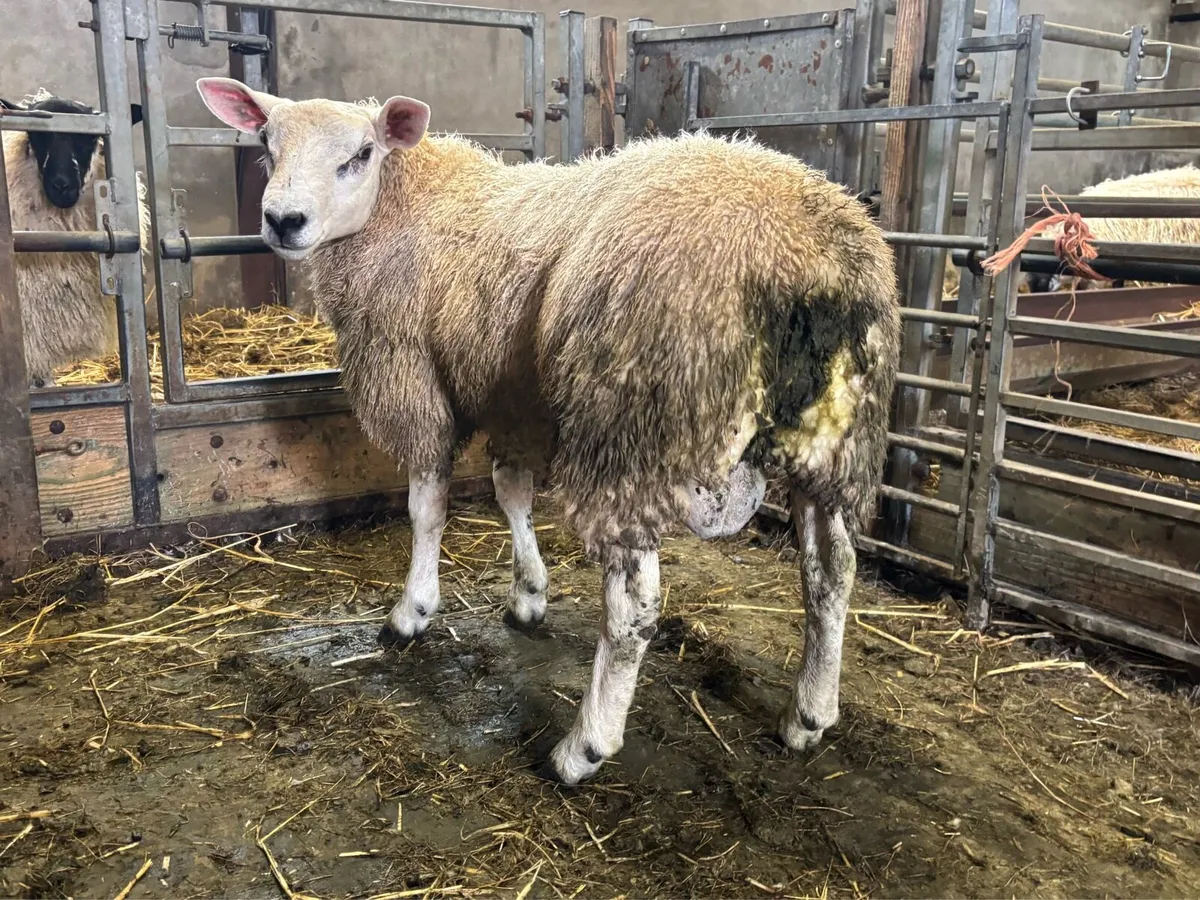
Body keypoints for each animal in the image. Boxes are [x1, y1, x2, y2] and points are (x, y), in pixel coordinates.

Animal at [196, 76, 902, 785]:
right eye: (266, 144)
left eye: (362, 153)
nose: (283, 220)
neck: (409, 203)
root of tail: (803, 263)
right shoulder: (514, 394)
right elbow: (512, 493)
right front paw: (529, 593)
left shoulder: (414, 380)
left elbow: (427, 507)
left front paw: (413, 611)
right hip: (839, 445)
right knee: (832, 572)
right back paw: (809, 713)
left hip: (629, 430)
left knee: (635, 608)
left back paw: (584, 746)